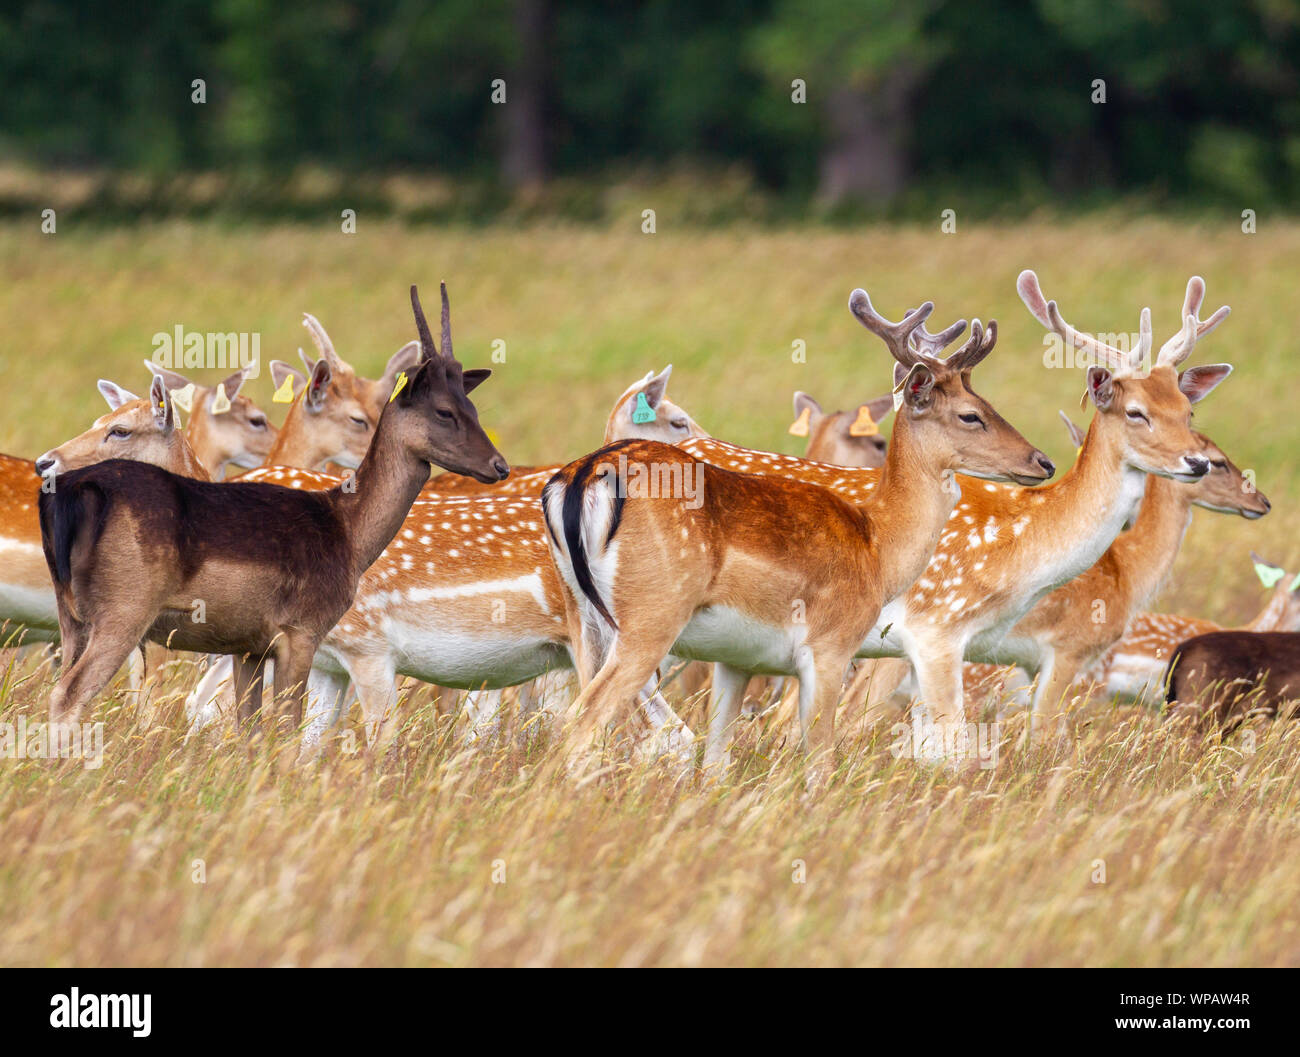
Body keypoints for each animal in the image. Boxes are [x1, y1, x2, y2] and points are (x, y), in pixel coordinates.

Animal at [37, 284, 506, 730]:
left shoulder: (247, 647)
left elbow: (249, 728)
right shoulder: (300, 635)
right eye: (444, 410)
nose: (498, 465)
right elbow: (287, 727)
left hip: (72, 620)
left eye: (472, 405)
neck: (347, 527)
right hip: (123, 617)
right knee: (70, 696)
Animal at [542, 287, 1055, 777]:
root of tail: (583, 475)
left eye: (989, 404)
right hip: (652, 615)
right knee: (582, 719)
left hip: (584, 618)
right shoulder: (829, 648)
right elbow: (818, 759)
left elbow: (717, 762)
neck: (877, 544)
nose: (1043, 462)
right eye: (970, 414)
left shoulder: (737, 660)